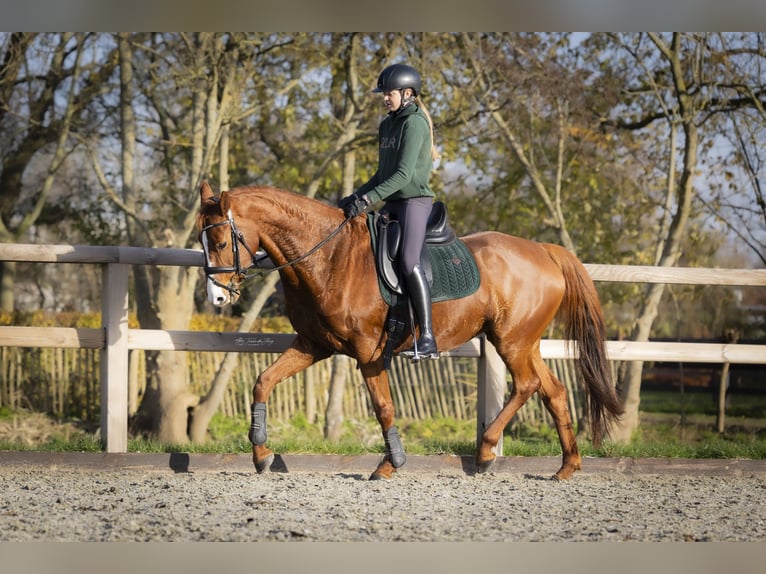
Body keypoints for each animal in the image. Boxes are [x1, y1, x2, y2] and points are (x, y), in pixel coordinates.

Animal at [196, 183, 624, 482]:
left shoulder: (368, 353)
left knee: (527, 385)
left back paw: (486, 452)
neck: (330, 258)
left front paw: (391, 464)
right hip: (525, 342)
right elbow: (263, 381)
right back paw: (567, 466)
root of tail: (543, 250)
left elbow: (383, 407)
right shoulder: (313, 345)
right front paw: (261, 454)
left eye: (220, 241)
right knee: (554, 391)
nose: (216, 296)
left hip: (511, 341)